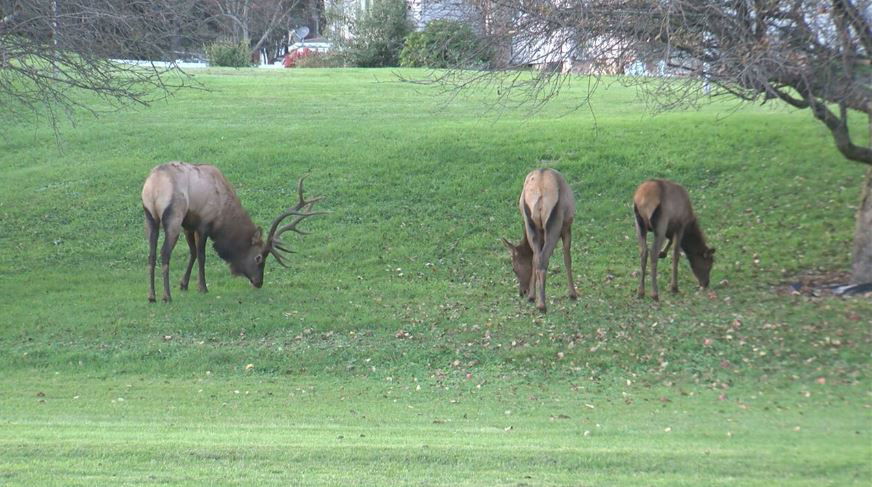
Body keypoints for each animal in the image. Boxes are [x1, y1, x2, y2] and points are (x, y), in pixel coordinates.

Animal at [141, 162, 326, 304]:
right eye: (259, 257)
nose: (259, 282)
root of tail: (154, 186)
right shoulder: (204, 223)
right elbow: (201, 256)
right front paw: (203, 287)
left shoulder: (189, 225)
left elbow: (192, 253)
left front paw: (184, 284)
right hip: (174, 215)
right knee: (164, 253)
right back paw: (167, 296)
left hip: (150, 217)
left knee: (151, 254)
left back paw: (151, 296)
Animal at [500, 168, 576, 312]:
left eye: (513, 269)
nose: (522, 292)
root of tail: (540, 194)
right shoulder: (567, 227)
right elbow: (567, 258)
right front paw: (573, 293)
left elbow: (533, 259)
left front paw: (531, 295)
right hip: (554, 223)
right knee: (543, 258)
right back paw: (542, 305)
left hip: (529, 221)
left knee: (536, 257)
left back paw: (533, 298)